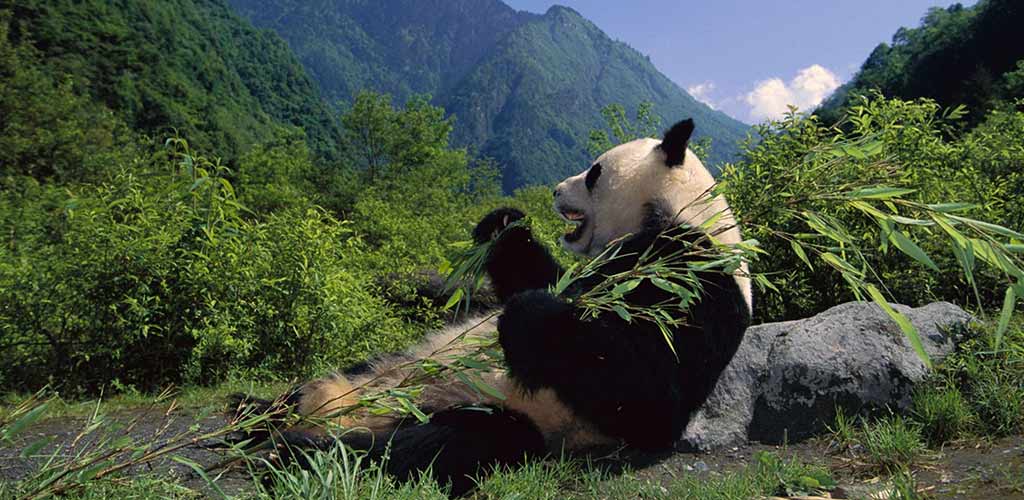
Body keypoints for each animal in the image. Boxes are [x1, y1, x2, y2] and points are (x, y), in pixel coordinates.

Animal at [237, 118, 753, 495]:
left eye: (593, 172)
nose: (554, 190)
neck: (678, 211)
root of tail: (346, 408)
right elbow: (541, 275)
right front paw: (504, 222)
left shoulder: (696, 280)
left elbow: (648, 395)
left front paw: (531, 316)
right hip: (386, 363)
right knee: (326, 385)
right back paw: (256, 413)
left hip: (494, 411)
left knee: (441, 444)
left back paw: (297, 450)